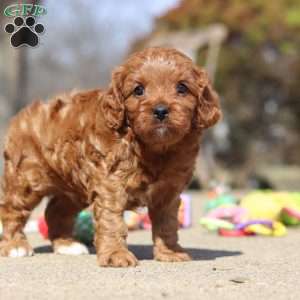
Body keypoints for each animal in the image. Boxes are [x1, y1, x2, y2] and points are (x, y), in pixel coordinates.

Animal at [0, 47, 220, 268]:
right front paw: (116, 255)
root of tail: (23, 114)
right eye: (138, 90)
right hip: (26, 179)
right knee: (11, 209)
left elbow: (167, 224)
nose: (160, 111)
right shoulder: (110, 184)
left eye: (182, 88)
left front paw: (170, 252)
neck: (154, 148)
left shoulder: (168, 191)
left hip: (74, 187)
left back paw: (67, 245)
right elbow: (112, 221)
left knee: (55, 210)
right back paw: (14, 246)